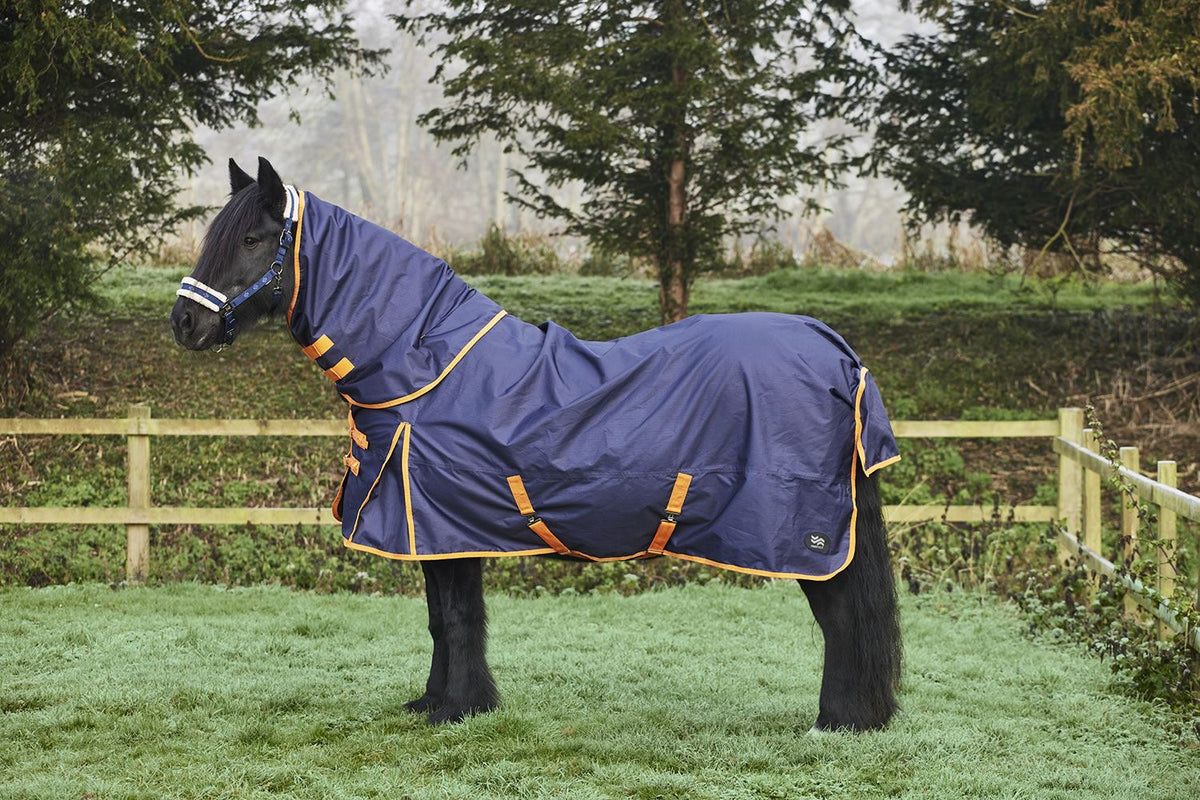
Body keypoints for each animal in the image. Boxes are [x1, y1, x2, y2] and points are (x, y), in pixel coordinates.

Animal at [170, 157, 902, 731]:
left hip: (809, 536)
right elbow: (439, 617)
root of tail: (837, 353)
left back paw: (839, 721)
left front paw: (457, 708)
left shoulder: (443, 522)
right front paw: (437, 702)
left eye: (253, 237)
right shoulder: (436, 529)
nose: (184, 324)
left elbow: (456, 617)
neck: (422, 362)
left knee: (842, 618)